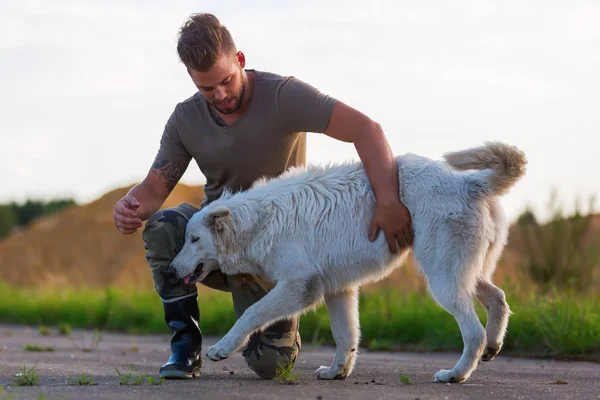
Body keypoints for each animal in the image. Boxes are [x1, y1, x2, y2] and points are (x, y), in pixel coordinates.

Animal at [169, 141, 524, 384]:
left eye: (194, 240)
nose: (171, 270)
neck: (259, 221)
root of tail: (470, 182)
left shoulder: (299, 287)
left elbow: (251, 314)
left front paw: (222, 348)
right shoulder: (338, 290)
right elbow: (346, 336)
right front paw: (337, 371)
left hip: (443, 282)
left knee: (474, 332)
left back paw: (455, 375)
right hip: (465, 275)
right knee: (499, 299)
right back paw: (493, 346)